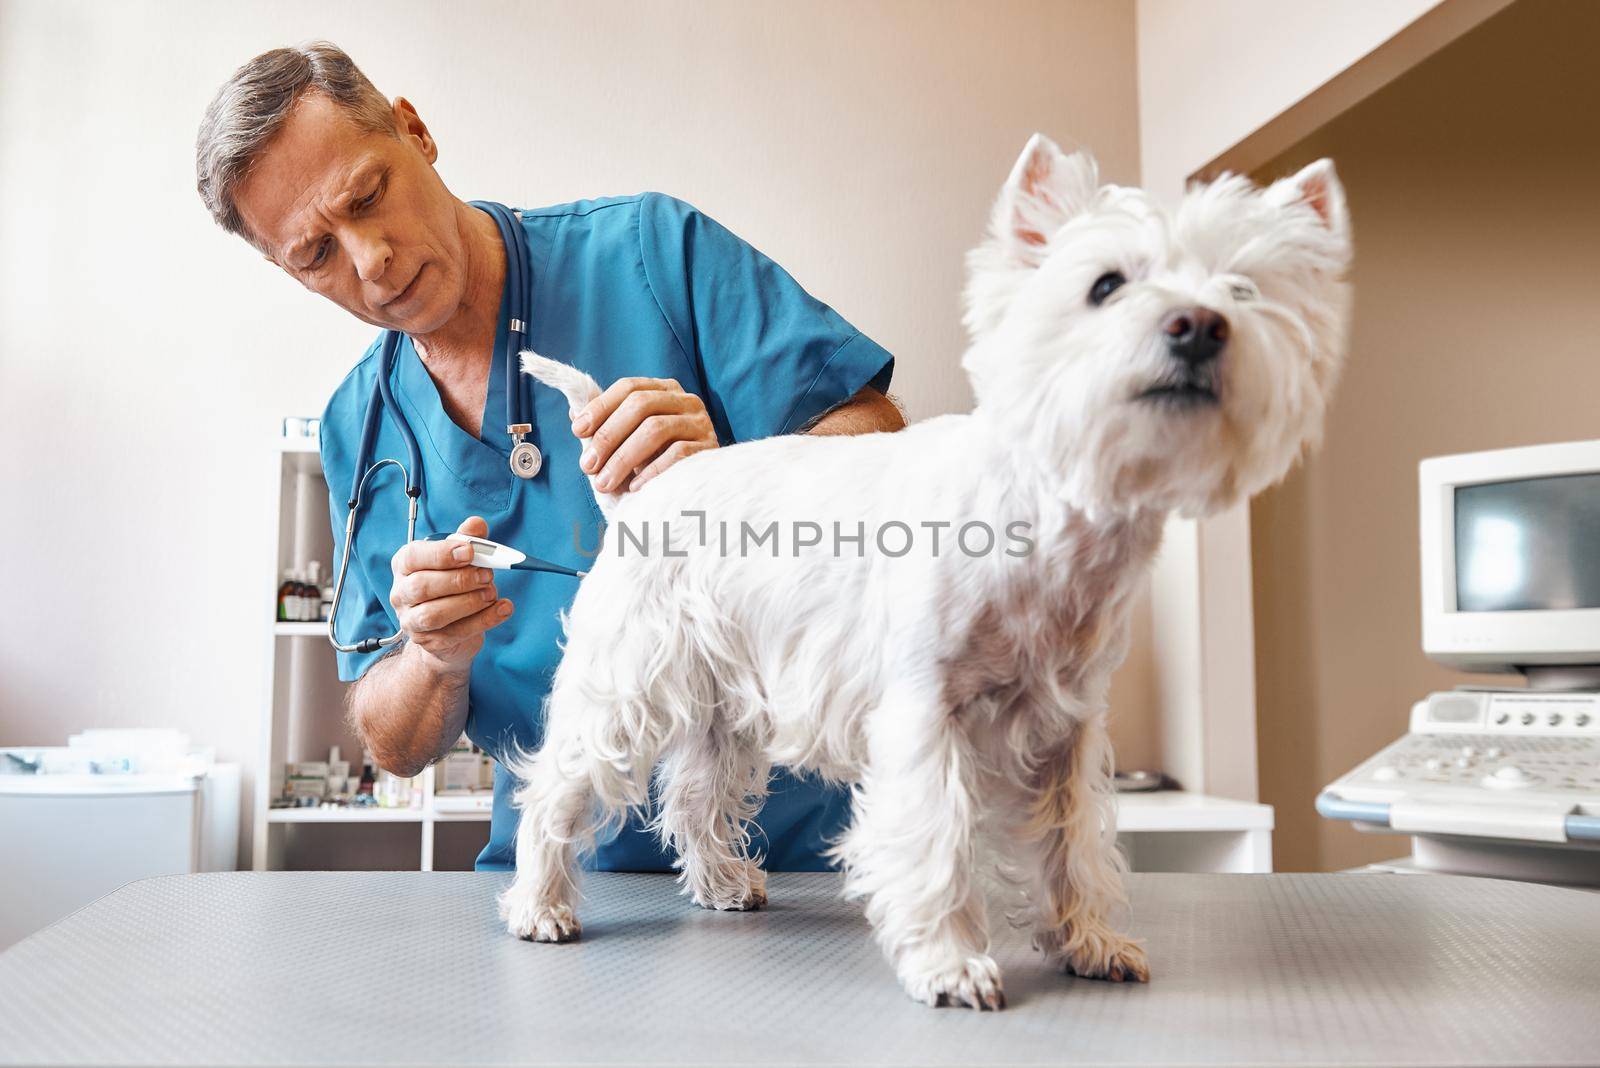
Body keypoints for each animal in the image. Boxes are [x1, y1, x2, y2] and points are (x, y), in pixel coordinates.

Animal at [499, 133, 1350, 1010]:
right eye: (1107, 285)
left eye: (1244, 289)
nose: (1199, 326)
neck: (1050, 520)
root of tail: (642, 493)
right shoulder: (922, 711)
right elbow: (937, 837)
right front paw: (951, 965)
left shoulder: (1068, 727)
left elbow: (1073, 840)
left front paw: (1091, 941)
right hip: (627, 680)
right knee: (558, 784)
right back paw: (540, 906)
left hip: (721, 704)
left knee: (697, 793)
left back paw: (725, 883)